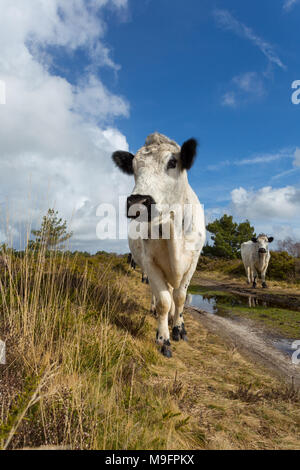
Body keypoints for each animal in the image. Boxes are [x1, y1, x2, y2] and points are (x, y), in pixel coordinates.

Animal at [112, 132, 206, 356]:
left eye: (172, 162)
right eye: (134, 167)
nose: (137, 202)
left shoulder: (193, 261)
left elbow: (180, 297)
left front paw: (179, 328)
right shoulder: (150, 262)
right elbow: (164, 300)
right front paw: (164, 339)